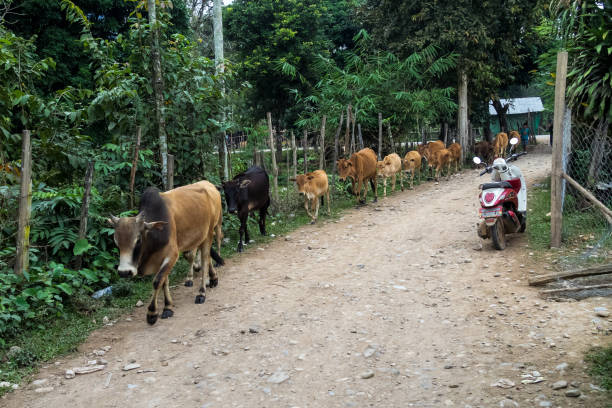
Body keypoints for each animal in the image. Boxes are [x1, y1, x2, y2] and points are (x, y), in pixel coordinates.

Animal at [109, 182, 222, 326]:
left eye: (138, 240)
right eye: (116, 242)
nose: (124, 272)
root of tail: (209, 185)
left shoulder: (172, 255)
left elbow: (157, 281)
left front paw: (152, 313)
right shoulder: (159, 258)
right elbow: (164, 281)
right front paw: (168, 307)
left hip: (209, 233)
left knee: (205, 260)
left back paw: (202, 293)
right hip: (201, 237)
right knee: (205, 258)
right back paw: (213, 279)